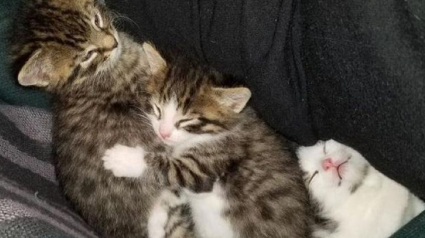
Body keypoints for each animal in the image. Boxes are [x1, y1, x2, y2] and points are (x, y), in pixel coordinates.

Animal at [102, 47, 312, 237]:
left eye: (186, 121)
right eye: (157, 109)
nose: (163, 133)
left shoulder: (211, 164)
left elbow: (171, 169)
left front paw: (124, 159)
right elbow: (172, 193)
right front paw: (155, 222)